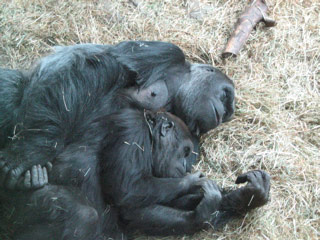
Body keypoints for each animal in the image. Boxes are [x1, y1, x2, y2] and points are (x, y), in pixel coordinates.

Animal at [0, 41, 235, 188]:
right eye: (225, 95)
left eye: (227, 110)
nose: (226, 112)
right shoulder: (165, 53)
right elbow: (106, 66)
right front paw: (31, 151)